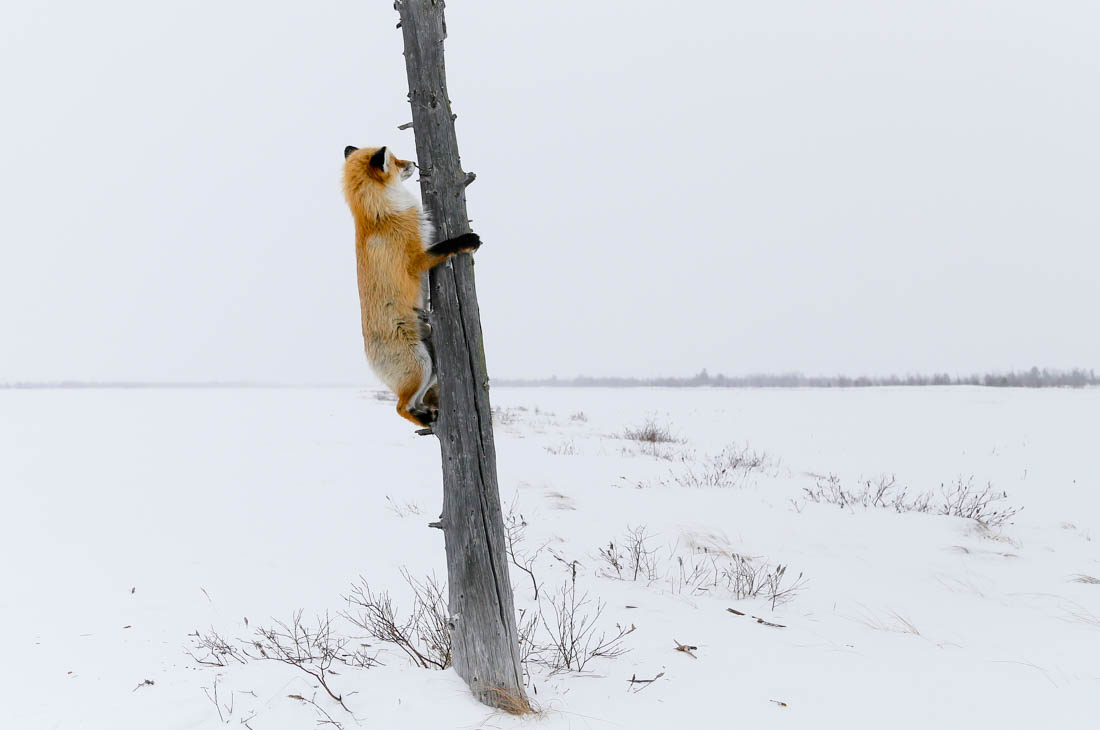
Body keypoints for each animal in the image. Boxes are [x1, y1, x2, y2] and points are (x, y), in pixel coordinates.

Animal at [343, 144, 481, 428]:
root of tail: (369, 359)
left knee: (412, 403)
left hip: (432, 366)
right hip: (420, 366)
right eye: (396, 162)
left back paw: (429, 416)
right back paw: (425, 420)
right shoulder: (416, 260)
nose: (414, 164)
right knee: (399, 407)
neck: (378, 215)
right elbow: (444, 247)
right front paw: (466, 240)